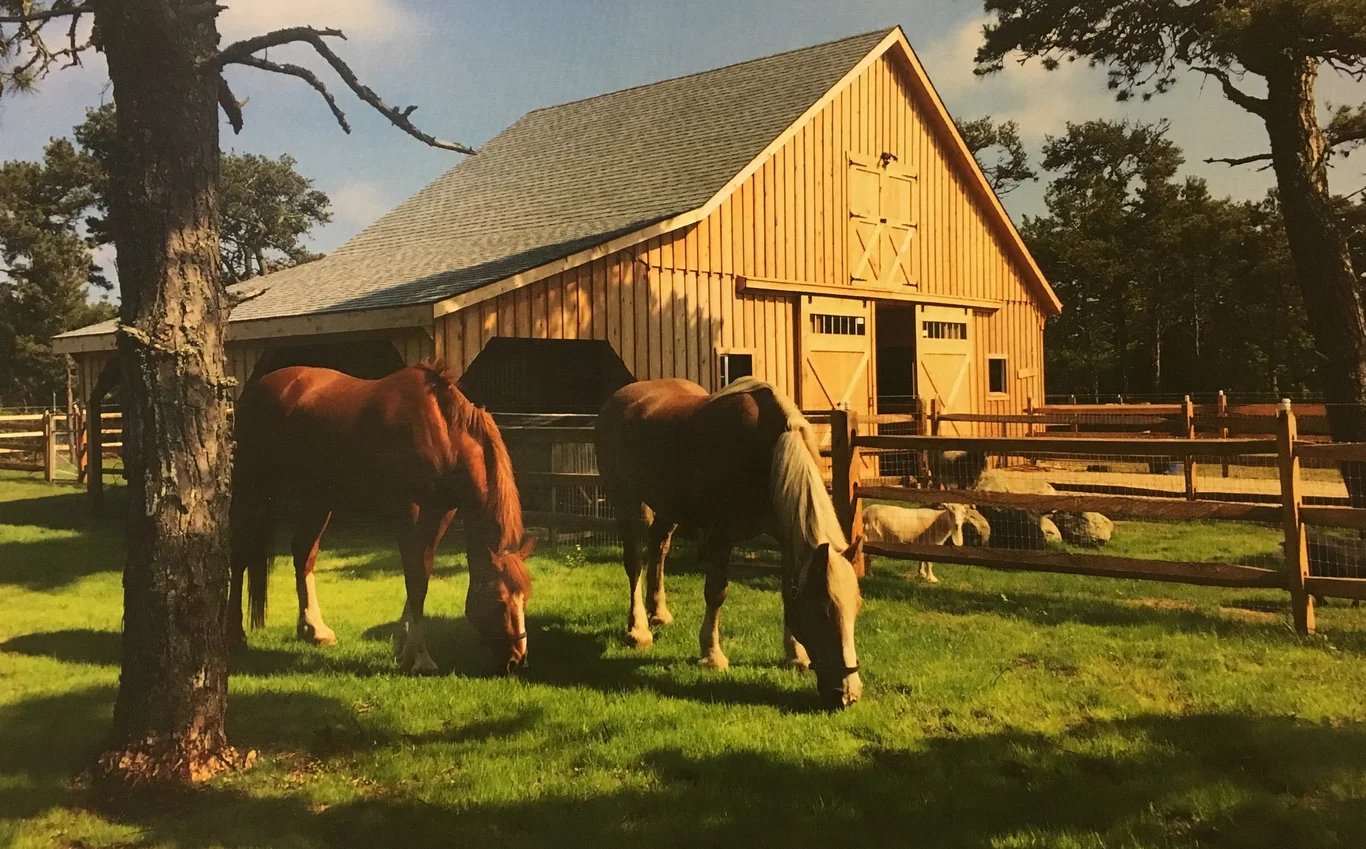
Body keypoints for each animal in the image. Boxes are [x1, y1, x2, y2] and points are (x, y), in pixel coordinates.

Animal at [229, 363, 532, 674]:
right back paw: (235, 636)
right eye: (499, 602)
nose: (517, 660)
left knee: (303, 554)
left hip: (317, 501)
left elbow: (423, 570)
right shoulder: (411, 511)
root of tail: (256, 389)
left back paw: (313, 630)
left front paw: (403, 646)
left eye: (526, 600)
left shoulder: (441, 514)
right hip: (252, 492)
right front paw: (420, 657)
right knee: (239, 556)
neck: (443, 431)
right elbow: (416, 578)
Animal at [592, 379, 857, 709]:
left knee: (658, 547)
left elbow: (787, 591)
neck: (768, 450)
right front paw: (712, 656)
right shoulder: (720, 533)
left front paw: (796, 656)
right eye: (823, 613)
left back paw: (659, 614)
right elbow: (716, 592)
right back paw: (638, 630)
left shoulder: (785, 536)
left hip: (670, 507)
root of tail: (615, 400)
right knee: (634, 564)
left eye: (856, 609)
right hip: (627, 502)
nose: (847, 695)